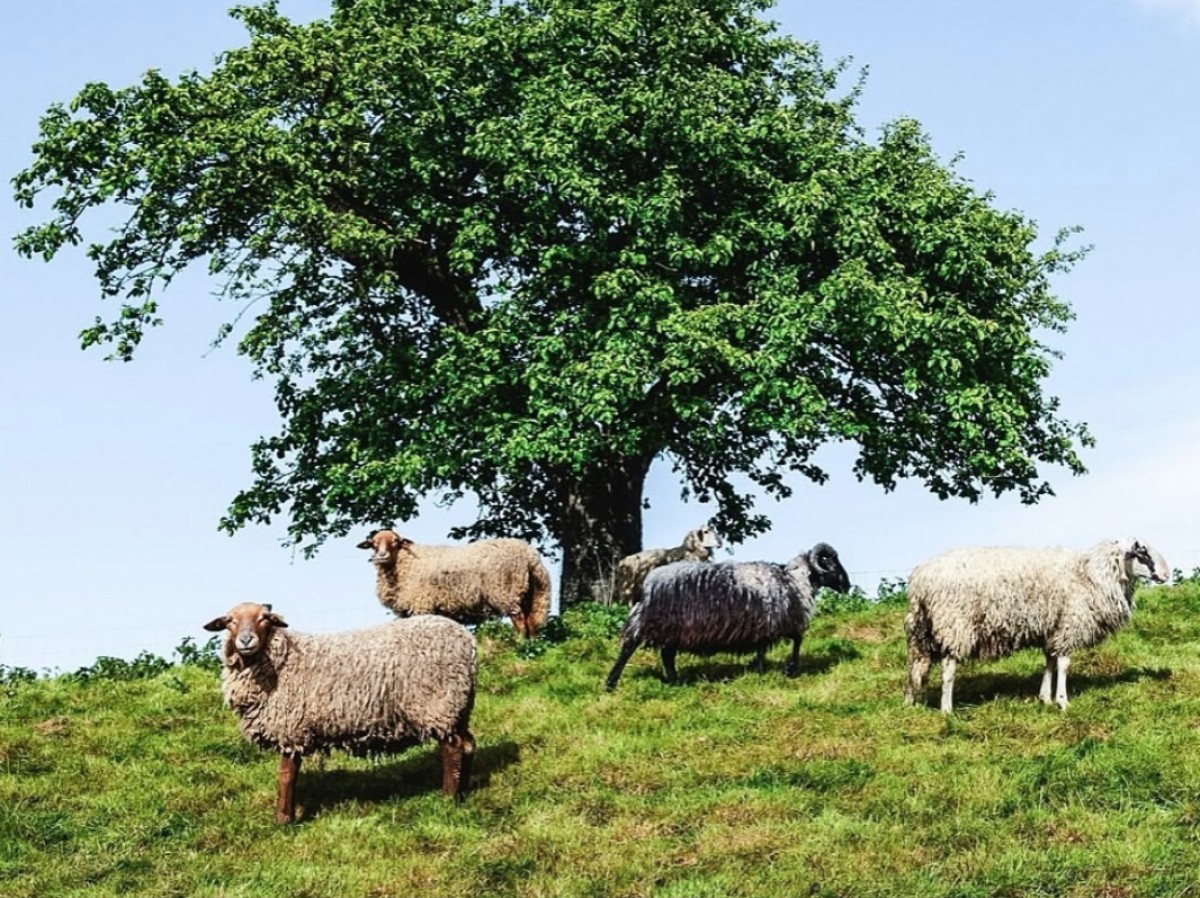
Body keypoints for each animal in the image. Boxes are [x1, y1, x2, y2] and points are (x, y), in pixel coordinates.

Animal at [200, 600, 472, 825]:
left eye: (264, 618)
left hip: (439, 706)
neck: (281, 661)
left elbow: (286, 775)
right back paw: (464, 791)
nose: (246, 641)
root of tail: (467, 639)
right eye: (230, 621)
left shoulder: (291, 728)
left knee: (453, 748)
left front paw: (284, 820)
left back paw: (447, 797)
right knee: (468, 744)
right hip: (459, 707)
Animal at [355, 525, 552, 638]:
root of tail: (529, 555)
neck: (405, 564)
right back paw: (531, 645)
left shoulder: (421, 604)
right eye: (373, 543)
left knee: (519, 619)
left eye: (396, 541)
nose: (382, 555)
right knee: (530, 620)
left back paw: (520, 644)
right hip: (529, 591)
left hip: (505, 590)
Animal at [604, 540, 849, 686]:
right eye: (831, 563)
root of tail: (647, 584)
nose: (847, 586)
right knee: (630, 646)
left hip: (672, 629)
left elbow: (764, 648)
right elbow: (797, 639)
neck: (793, 581)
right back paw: (611, 682)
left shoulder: (764, 624)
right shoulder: (778, 620)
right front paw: (789, 669)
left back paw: (675, 681)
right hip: (654, 621)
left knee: (666, 654)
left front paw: (760, 670)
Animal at [902, 537, 1166, 710]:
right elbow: (1063, 664)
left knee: (916, 666)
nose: (1166, 575)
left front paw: (1045, 698)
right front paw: (1062, 701)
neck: (1092, 575)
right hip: (955, 623)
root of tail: (920, 580)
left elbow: (1049, 662)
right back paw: (947, 710)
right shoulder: (1069, 624)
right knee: (948, 668)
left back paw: (910, 704)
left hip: (921, 630)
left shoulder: (1052, 629)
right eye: (1142, 554)